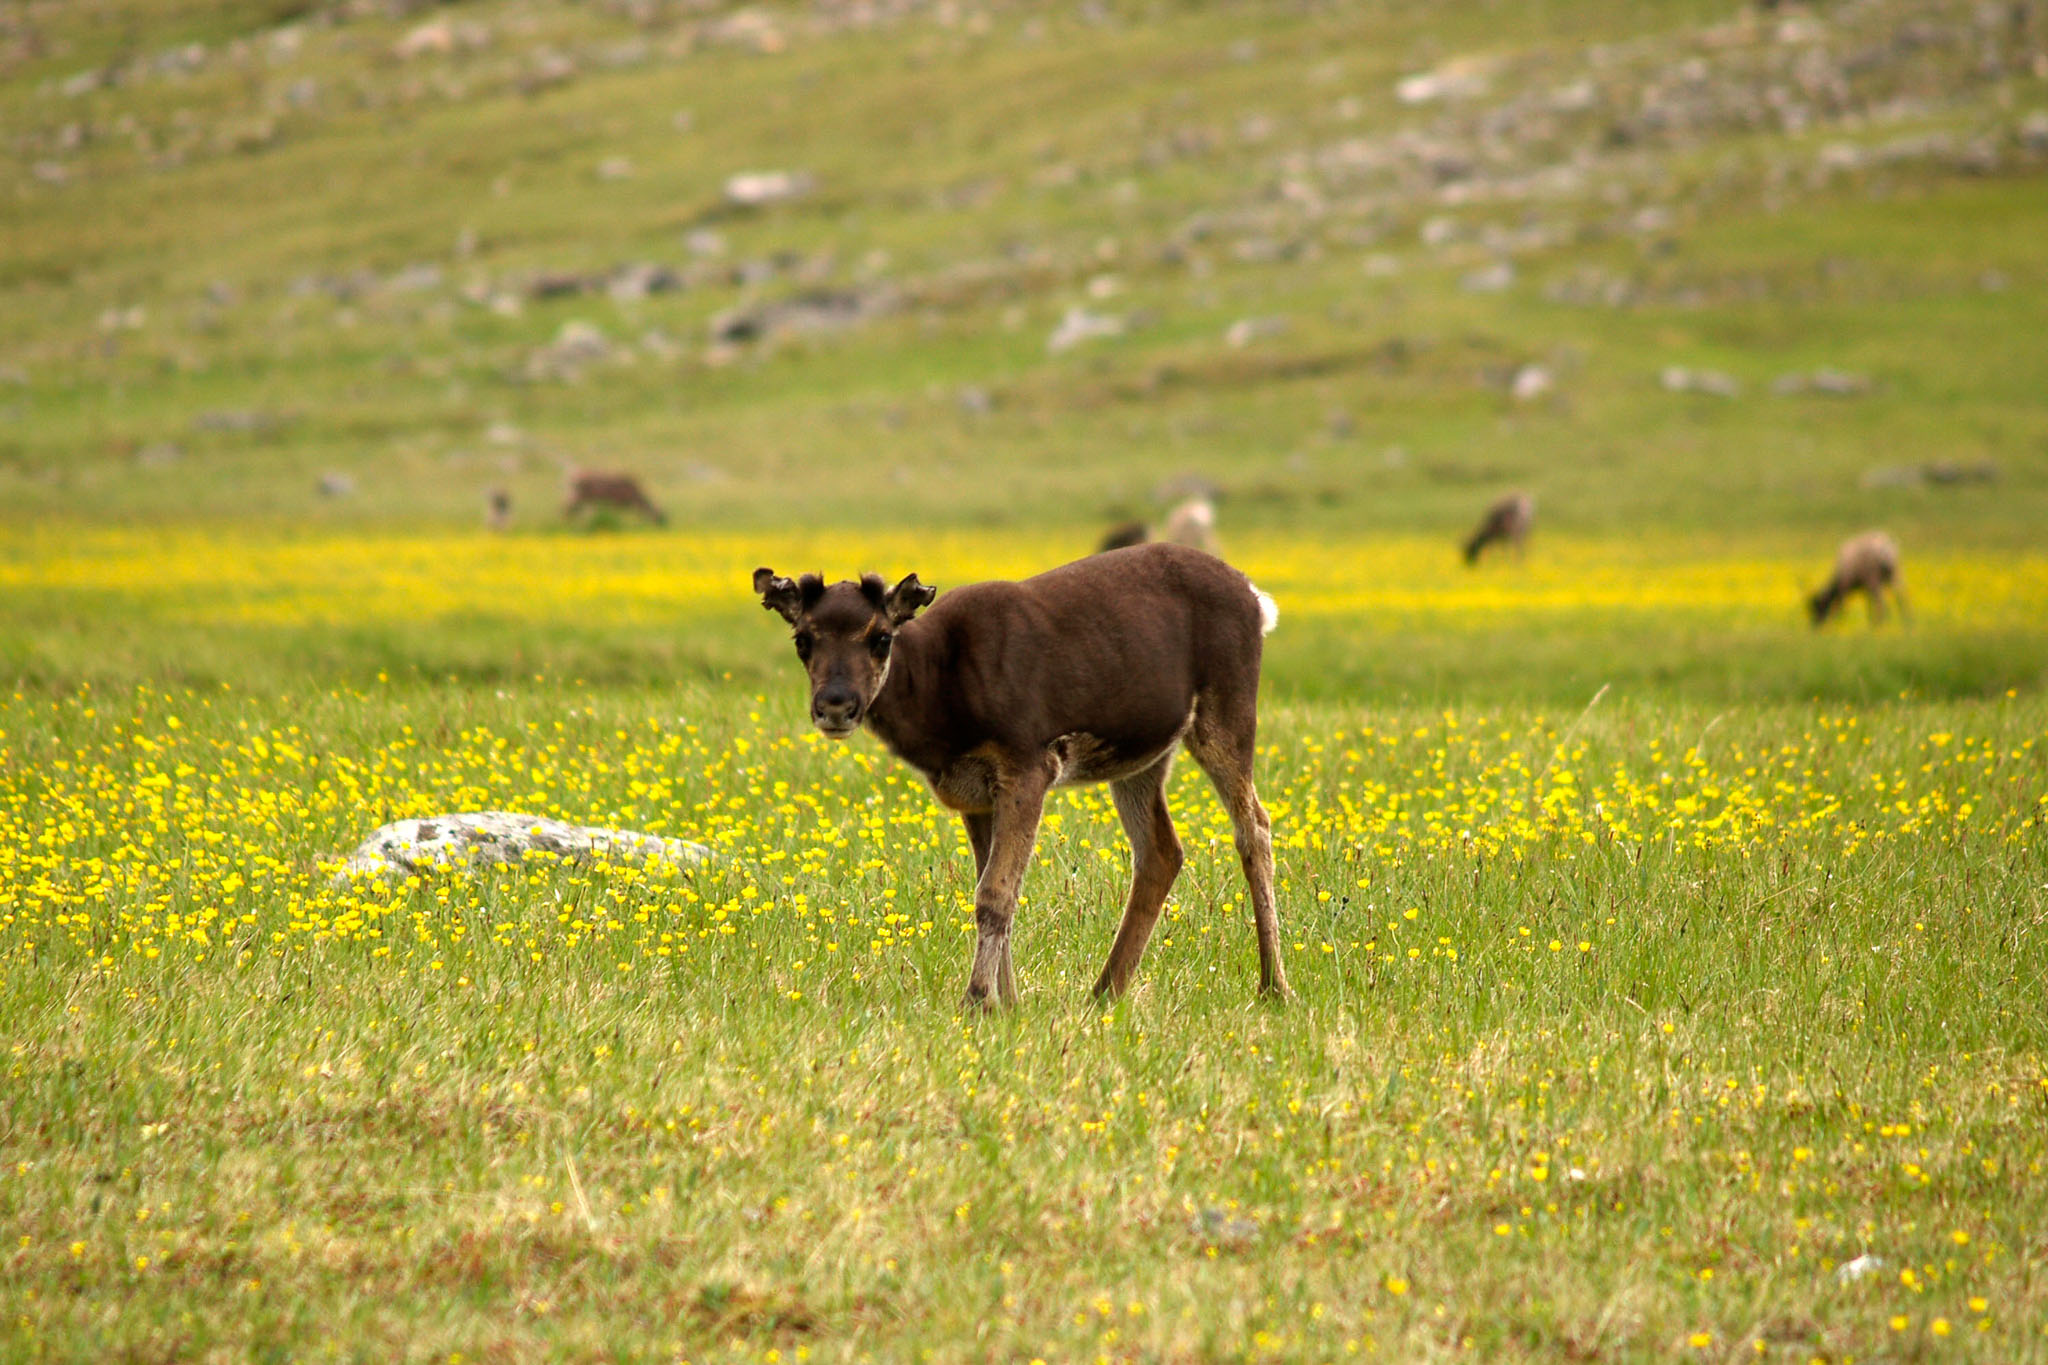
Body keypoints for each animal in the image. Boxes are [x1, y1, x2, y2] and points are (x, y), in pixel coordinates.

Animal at [761, 540, 1286, 1002]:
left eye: (882, 637)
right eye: (803, 639)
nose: (835, 704)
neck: (941, 708)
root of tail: (1257, 600)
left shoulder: (1029, 763)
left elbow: (995, 894)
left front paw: (977, 999)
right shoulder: (973, 792)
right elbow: (992, 890)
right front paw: (1007, 1001)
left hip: (1228, 706)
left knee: (1254, 826)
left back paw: (1273, 987)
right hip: (1143, 755)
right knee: (1161, 851)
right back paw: (1104, 992)